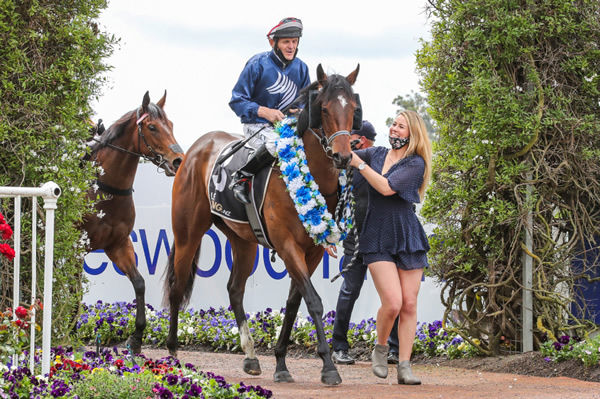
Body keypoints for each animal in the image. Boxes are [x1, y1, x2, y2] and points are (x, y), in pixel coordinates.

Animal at [81, 90, 183, 354]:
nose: (178, 160)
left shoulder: (118, 243)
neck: (105, 190)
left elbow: (139, 283)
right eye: (152, 127)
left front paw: (136, 337)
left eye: (171, 125)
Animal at [164, 64, 358, 386]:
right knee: (178, 288)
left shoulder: (313, 251)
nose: (343, 156)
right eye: (325, 109)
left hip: (243, 241)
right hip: (187, 233)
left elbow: (294, 303)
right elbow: (314, 301)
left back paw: (251, 356)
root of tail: (194, 149)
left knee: (235, 289)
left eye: (353, 108)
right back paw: (172, 353)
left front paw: (281, 362)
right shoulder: (287, 244)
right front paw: (329, 367)